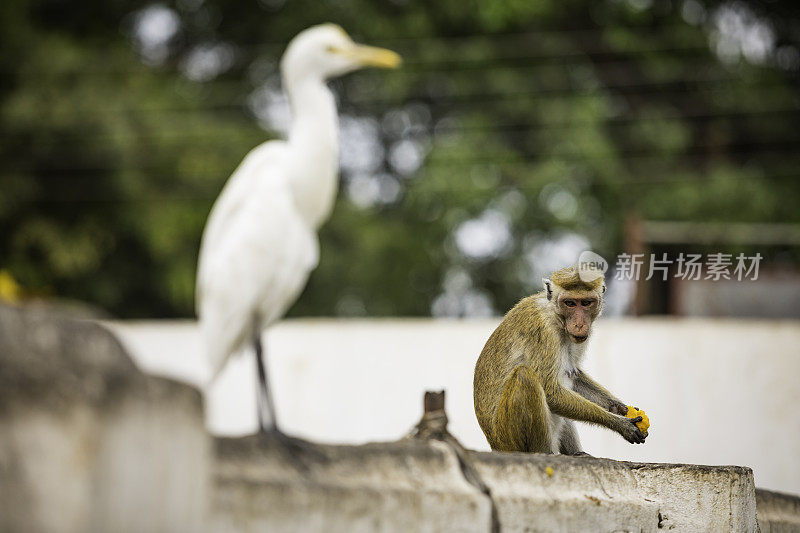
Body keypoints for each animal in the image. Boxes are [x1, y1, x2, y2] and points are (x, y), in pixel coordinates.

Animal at [472, 266, 648, 454]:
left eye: (586, 303)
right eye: (570, 303)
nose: (579, 324)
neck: (555, 316)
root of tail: (496, 445)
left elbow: (574, 375)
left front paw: (617, 406)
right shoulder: (543, 331)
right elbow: (550, 390)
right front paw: (619, 423)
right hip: (508, 437)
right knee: (524, 377)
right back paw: (544, 452)